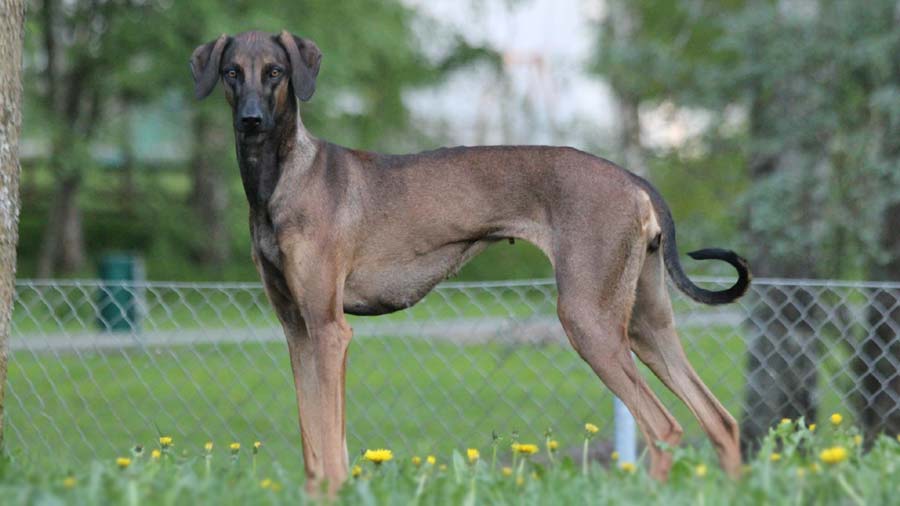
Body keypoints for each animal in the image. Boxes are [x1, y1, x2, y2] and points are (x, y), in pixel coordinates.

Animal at [192, 30, 752, 494]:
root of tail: (633, 179)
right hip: (645, 325)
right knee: (720, 422)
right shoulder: (297, 332)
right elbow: (313, 447)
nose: (251, 121)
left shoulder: (329, 331)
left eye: (275, 72)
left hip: (589, 321)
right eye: (232, 72)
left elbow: (330, 451)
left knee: (666, 428)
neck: (282, 181)